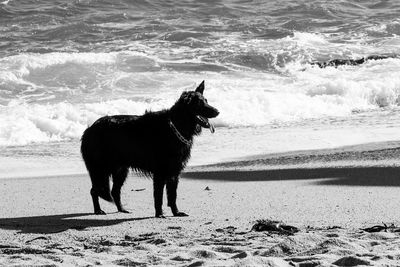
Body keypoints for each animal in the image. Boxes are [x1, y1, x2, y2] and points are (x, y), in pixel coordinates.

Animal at [81, 81, 219, 218]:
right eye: (199, 103)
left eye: (206, 101)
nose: (217, 111)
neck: (176, 125)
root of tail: (89, 129)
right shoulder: (160, 173)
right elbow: (158, 196)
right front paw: (159, 214)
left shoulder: (174, 172)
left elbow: (172, 196)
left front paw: (176, 212)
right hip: (100, 170)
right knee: (94, 190)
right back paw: (98, 210)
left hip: (120, 170)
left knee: (114, 191)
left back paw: (121, 209)